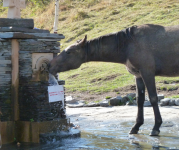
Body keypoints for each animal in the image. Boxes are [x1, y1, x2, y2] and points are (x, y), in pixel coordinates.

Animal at [48, 24, 179, 136]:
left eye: (69, 52)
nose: (49, 65)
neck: (129, 44)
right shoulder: (138, 76)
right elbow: (140, 100)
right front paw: (136, 126)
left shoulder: (148, 73)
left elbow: (153, 98)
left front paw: (156, 127)